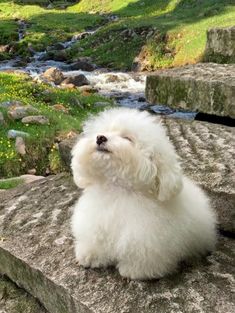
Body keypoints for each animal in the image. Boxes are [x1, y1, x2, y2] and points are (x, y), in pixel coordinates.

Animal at [71, 108, 217, 280]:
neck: (118, 188)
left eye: (127, 138)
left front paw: (136, 270)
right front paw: (90, 255)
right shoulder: (96, 223)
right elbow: (96, 241)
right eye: (103, 131)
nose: (100, 138)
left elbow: (142, 256)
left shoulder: (145, 239)